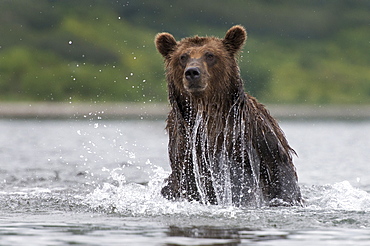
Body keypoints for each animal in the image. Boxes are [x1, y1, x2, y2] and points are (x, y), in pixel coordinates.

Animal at [155, 25, 302, 207]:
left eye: (210, 55)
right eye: (183, 57)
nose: (192, 72)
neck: (207, 112)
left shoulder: (251, 139)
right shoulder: (185, 148)